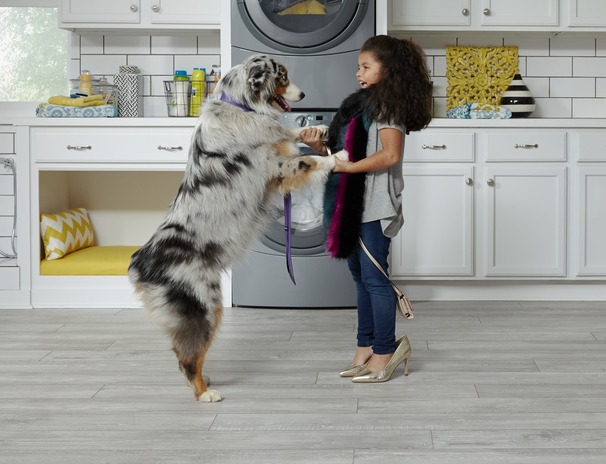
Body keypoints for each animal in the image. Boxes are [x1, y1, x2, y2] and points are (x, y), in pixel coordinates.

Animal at [128, 54, 346, 402]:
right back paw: (205, 393)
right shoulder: (276, 168)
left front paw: (317, 127)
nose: (303, 95)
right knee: (189, 355)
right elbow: (311, 161)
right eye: (282, 76)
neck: (242, 106)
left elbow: (287, 131)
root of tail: (142, 262)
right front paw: (340, 155)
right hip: (206, 305)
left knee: (182, 351)